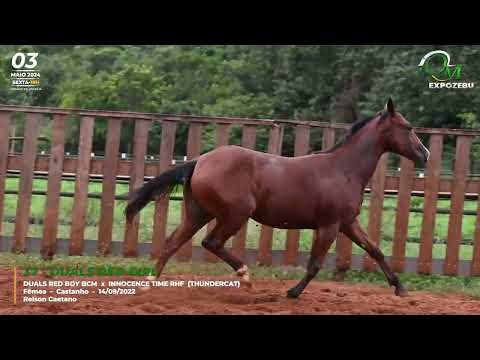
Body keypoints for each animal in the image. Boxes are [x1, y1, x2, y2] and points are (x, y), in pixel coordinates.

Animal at [125, 97, 430, 298]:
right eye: (408, 127)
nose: (424, 154)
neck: (343, 170)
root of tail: (199, 161)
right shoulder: (329, 225)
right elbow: (315, 263)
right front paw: (293, 292)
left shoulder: (347, 223)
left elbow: (375, 249)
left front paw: (400, 288)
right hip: (235, 214)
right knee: (211, 242)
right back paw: (246, 278)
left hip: (198, 212)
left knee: (172, 243)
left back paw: (149, 284)